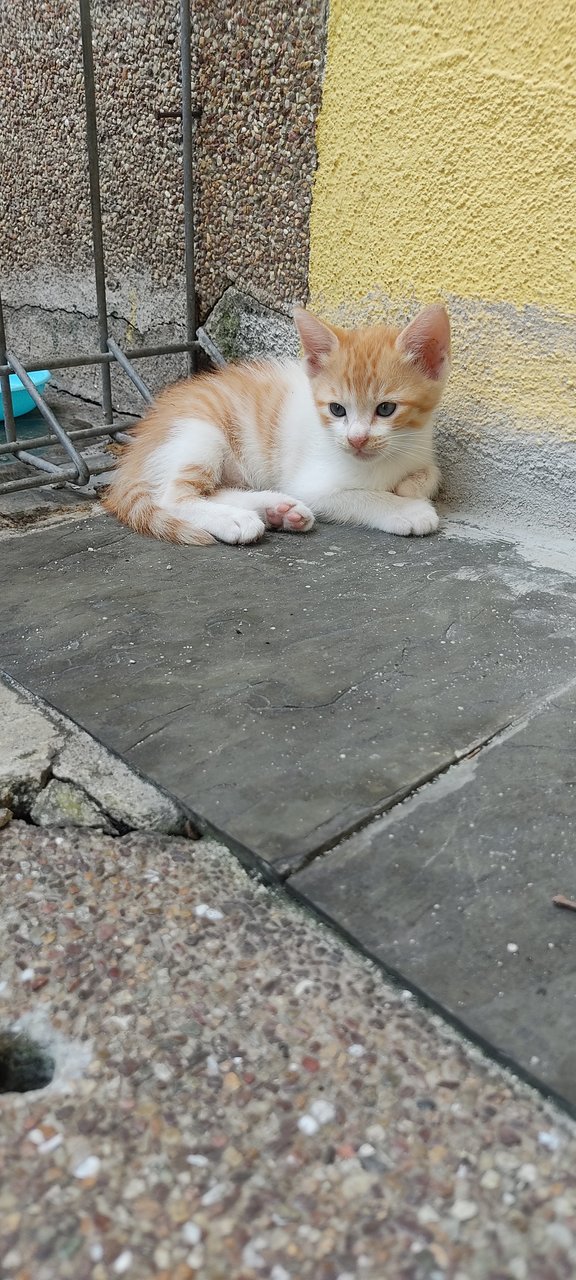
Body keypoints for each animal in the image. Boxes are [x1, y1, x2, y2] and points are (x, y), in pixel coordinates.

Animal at [105, 305, 453, 545]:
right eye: (337, 409)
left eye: (386, 409)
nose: (356, 440)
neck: (392, 456)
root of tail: (136, 449)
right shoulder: (312, 484)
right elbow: (361, 497)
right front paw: (406, 509)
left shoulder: (421, 448)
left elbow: (432, 471)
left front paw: (413, 486)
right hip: (200, 434)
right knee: (172, 497)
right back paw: (236, 520)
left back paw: (277, 510)